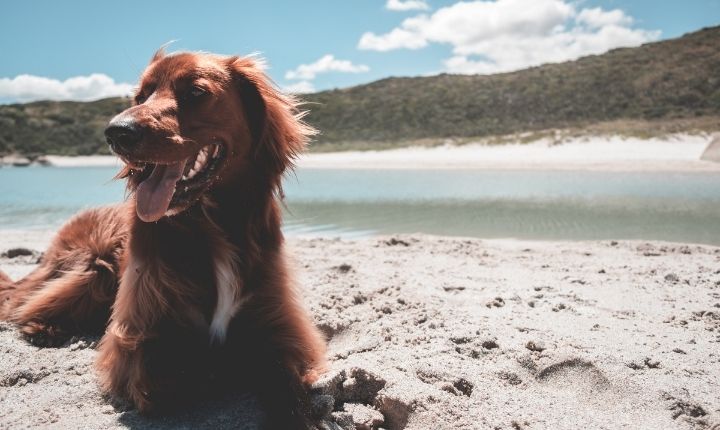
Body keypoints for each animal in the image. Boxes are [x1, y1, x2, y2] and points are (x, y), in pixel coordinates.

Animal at [0, 49, 326, 426]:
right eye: (141, 96)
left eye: (196, 92)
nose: (116, 133)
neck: (211, 223)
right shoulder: (135, 340)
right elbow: (181, 371)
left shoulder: (279, 325)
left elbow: (286, 385)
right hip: (92, 266)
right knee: (25, 302)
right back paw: (44, 328)